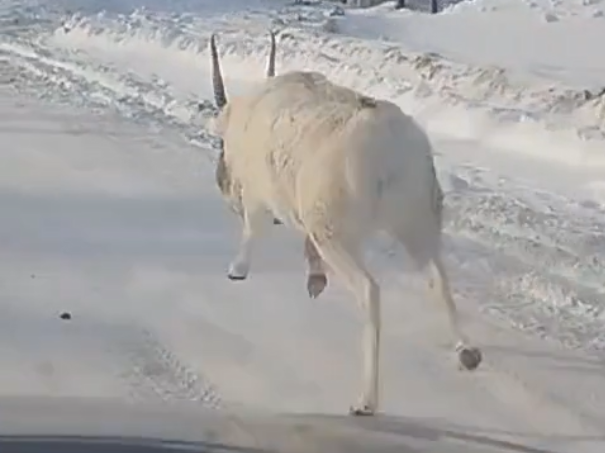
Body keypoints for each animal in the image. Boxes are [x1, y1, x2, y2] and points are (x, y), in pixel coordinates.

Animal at [208, 30, 482, 414]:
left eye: (220, 145)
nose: (221, 183)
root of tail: (389, 148)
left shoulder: (261, 194)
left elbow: (253, 228)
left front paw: (238, 269)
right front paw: (314, 279)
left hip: (338, 235)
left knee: (370, 291)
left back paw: (365, 400)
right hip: (418, 221)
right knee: (437, 279)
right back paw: (467, 353)